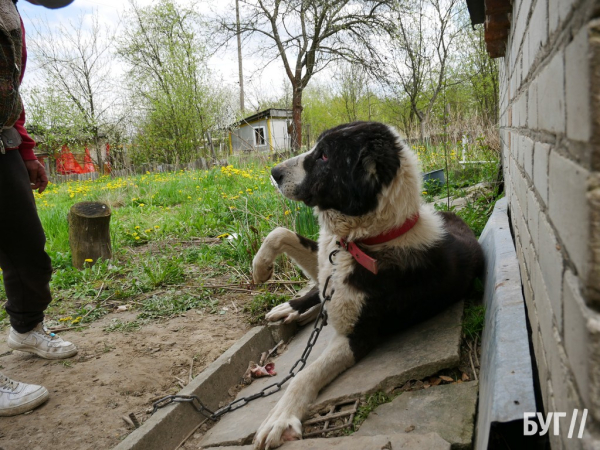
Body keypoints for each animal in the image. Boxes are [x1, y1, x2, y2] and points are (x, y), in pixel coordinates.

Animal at [251, 121, 486, 448]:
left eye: (324, 155)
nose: (274, 172)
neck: (365, 240)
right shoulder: (327, 259)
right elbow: (280, 232)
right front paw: (261, 269)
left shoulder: (358, 336)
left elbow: (304, 375)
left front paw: (280, 418)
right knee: (315, 292)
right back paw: (291, 308)